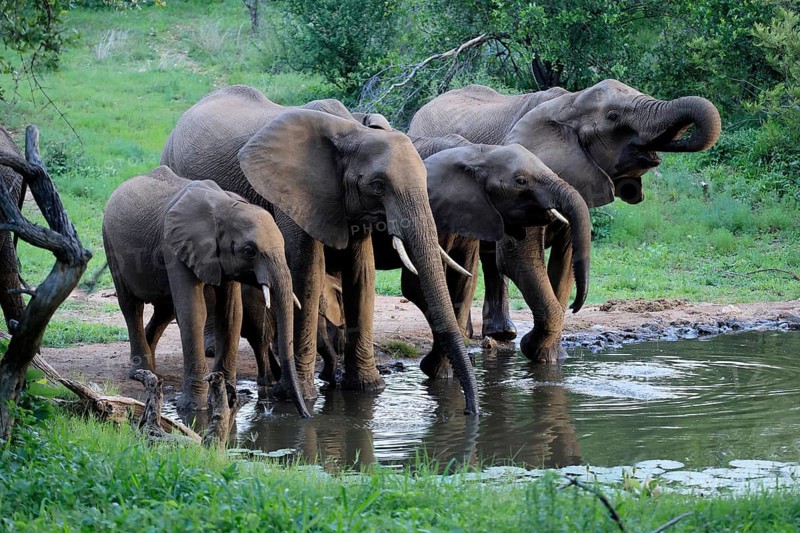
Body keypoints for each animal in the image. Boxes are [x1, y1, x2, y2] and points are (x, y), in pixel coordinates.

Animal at [102, 165, 309, 416]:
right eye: (249, 251)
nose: (306, 415)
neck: (224, 207)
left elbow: (230, 313)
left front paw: (228, 398)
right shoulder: (175, 246)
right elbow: (193, 312)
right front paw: (193, 408)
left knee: (165, 309)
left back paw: (150, 369)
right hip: (110, 244)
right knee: (131, 306)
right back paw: (141, 372)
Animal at [161, 85, 480, 414]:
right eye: (378, 185)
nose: (470, 411)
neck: (352, 131)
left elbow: (361, 275)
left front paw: (367, 388)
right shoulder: (293, 192)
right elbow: (307, 272)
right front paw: (300, 396)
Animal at [371, 137, 592, 378]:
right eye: (521, 181)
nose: (575, 306)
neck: (476, 154)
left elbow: (464, 279)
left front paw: (445, 372)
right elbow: (416, 285)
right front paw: (442, 372)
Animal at [408, 79, 721, 362]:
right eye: (613, 116)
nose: (576, 306)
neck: (569, 103)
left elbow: (565, 262)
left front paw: (551, 356)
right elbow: (517, 257)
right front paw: (535, 347)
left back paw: (502, 335)